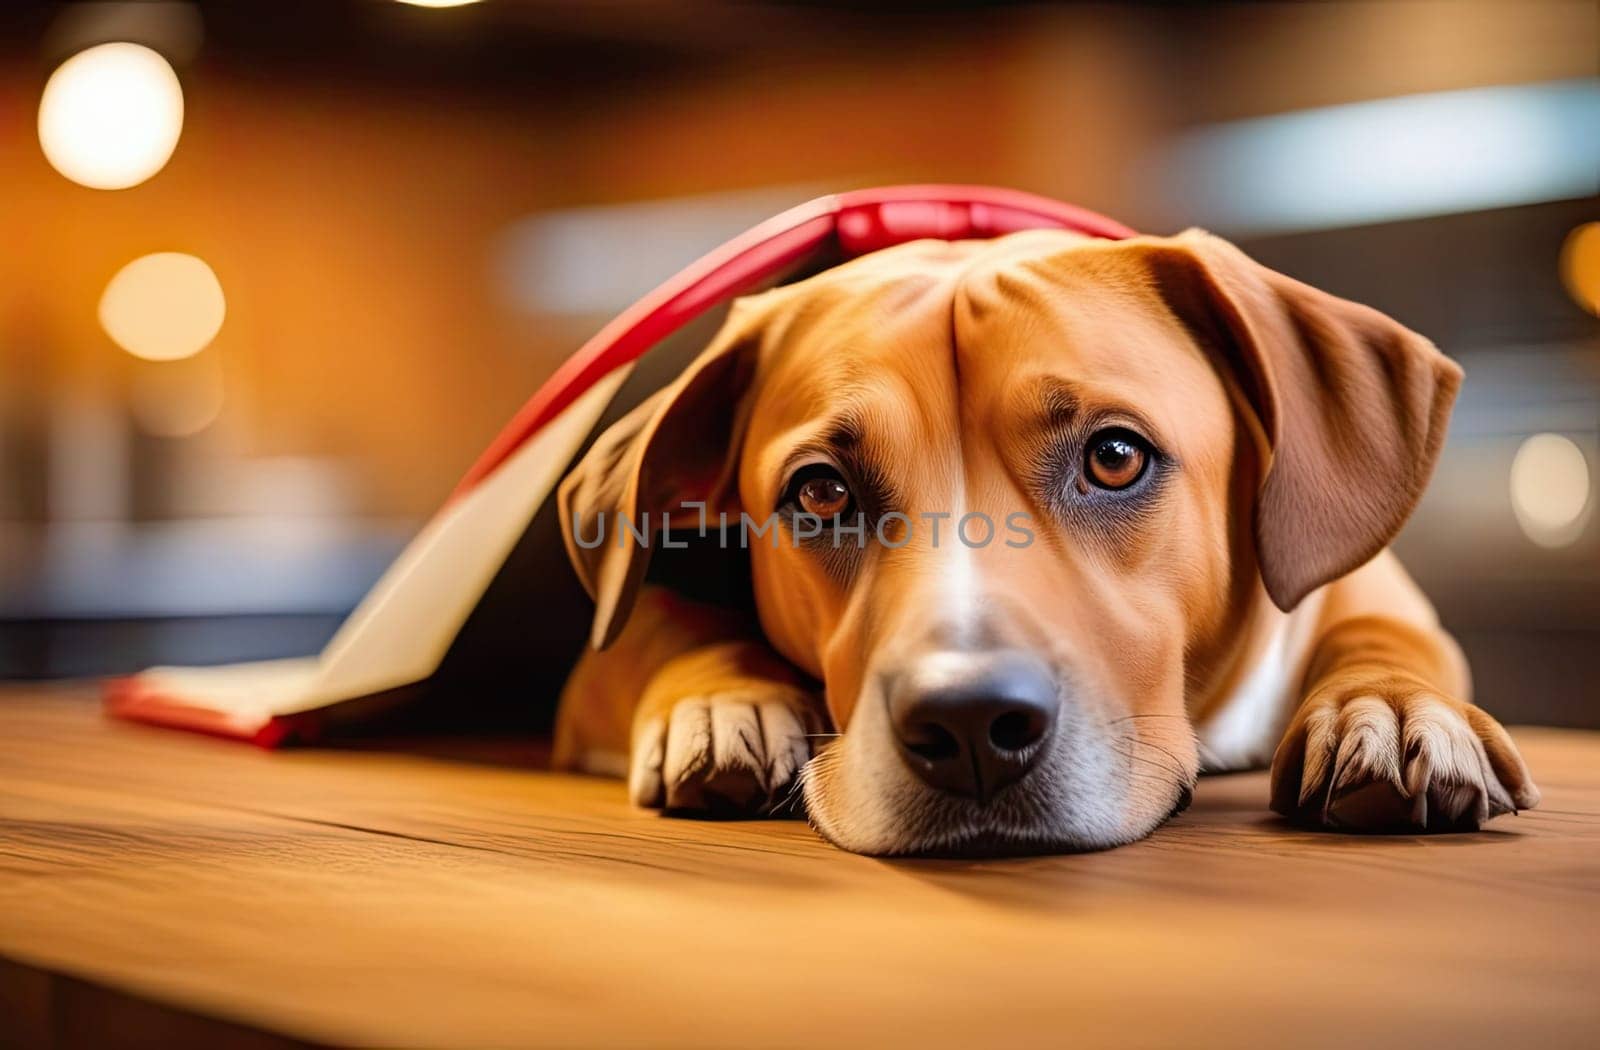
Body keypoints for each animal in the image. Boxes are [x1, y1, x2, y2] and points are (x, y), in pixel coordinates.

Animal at [547, 227, 1536, 851]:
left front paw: (1393, 710)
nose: (969, 725)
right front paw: (727, 701)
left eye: (1114, 457)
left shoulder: (1371, 592)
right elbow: (659, 624)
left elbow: (1384, 637)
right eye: (821, 492)